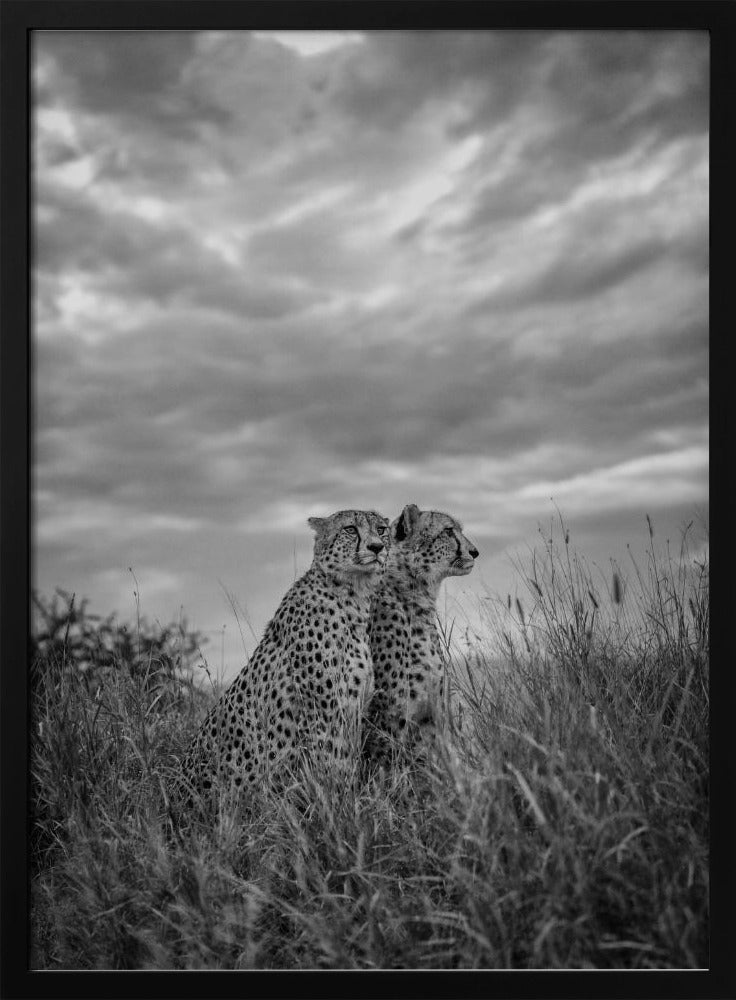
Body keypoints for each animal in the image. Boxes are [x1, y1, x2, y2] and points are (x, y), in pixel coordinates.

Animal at [174, 509, 390, 815]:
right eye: (350, 529)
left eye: (382, 529)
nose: (377, 547)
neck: (351, 595)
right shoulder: (324, 713)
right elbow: (333, 766)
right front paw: (341, 807)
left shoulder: (352, 710)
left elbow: (347, 761)